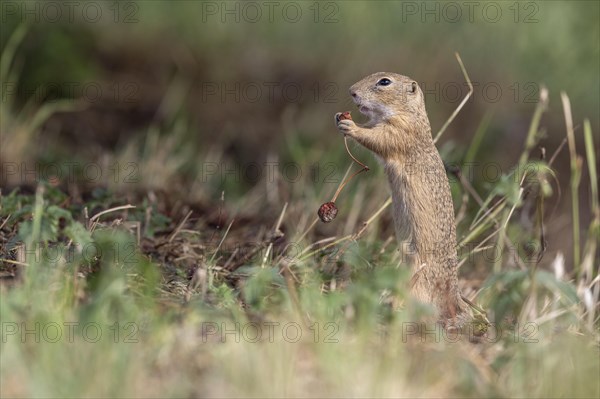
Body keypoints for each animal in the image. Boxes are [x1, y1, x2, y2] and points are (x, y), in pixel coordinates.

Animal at [336, 73, 472, 330]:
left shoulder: (399, 131)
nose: (350, 91)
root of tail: (452, 289)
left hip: (417, 275)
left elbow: (376, 138)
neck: (410, 113)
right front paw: (339, 118)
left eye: (384, 82)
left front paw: (351, 126)